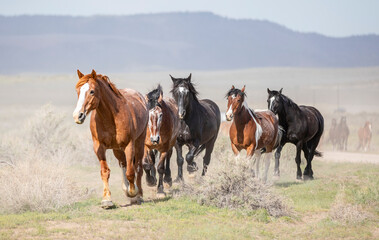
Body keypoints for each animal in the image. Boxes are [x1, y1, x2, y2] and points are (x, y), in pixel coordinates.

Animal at [72, 69, 148, 208]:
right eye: (77, 91)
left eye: (92, 91)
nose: (77, 116)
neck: (110, 117)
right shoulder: (99, 147)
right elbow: (105, 172)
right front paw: (107, 200)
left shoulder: (129, 145)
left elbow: (131, 172)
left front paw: (133, 192)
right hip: (117, 150)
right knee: (123, 164)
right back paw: (126, 189)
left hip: (139, 144)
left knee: (138, 168)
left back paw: (139, 195)